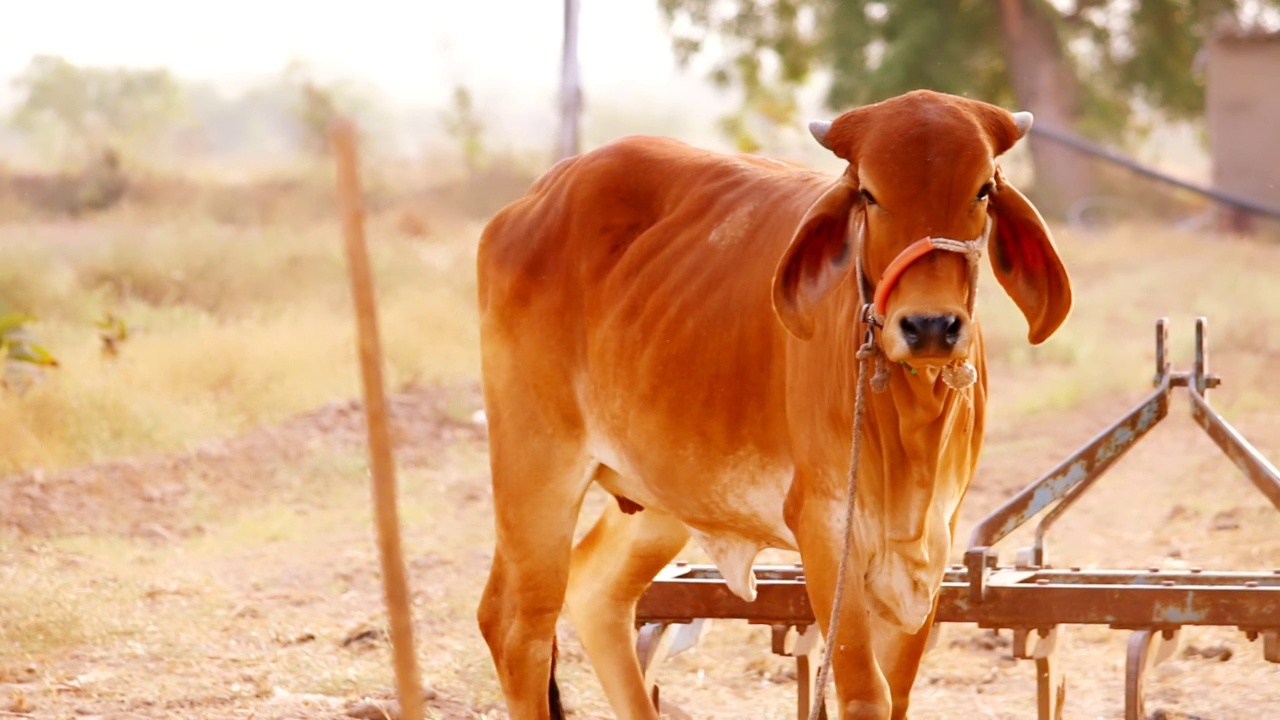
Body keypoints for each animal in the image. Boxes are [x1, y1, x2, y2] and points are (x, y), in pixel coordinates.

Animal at [476, 89, 1064, 717]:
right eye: (869, 193)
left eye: (982, 189)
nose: (930, 326)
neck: (912, 419)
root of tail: (533, 200)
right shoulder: (826, 530)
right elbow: (864, 691)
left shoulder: (931, 547)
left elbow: (898, 692)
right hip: (536, 466)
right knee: (517, 624)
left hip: (662, 491)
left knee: (596, 588)